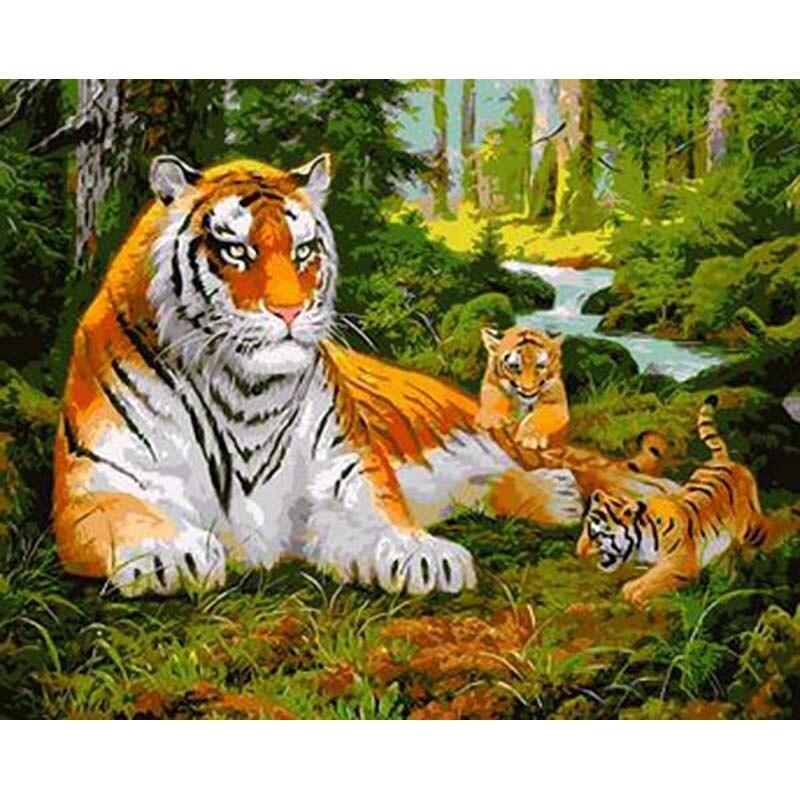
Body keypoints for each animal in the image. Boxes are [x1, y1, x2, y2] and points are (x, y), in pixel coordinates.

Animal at [53, 152, 596, 598]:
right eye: (236, 251)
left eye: (303, 251)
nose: (290, 311)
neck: (244, 393)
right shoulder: (95, 480)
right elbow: (128, 511)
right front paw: (168, 554)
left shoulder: (346, 468)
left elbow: (379, 512)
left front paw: (422, 553)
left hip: (473, 423)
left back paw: (560, 494)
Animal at [576, 394, 783, 608]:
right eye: (585, 528)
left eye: (598, 533)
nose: (579, 553)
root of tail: (722, 459)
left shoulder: (681, 563)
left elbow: (655, 579)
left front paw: (633, 592)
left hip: (749, 524)